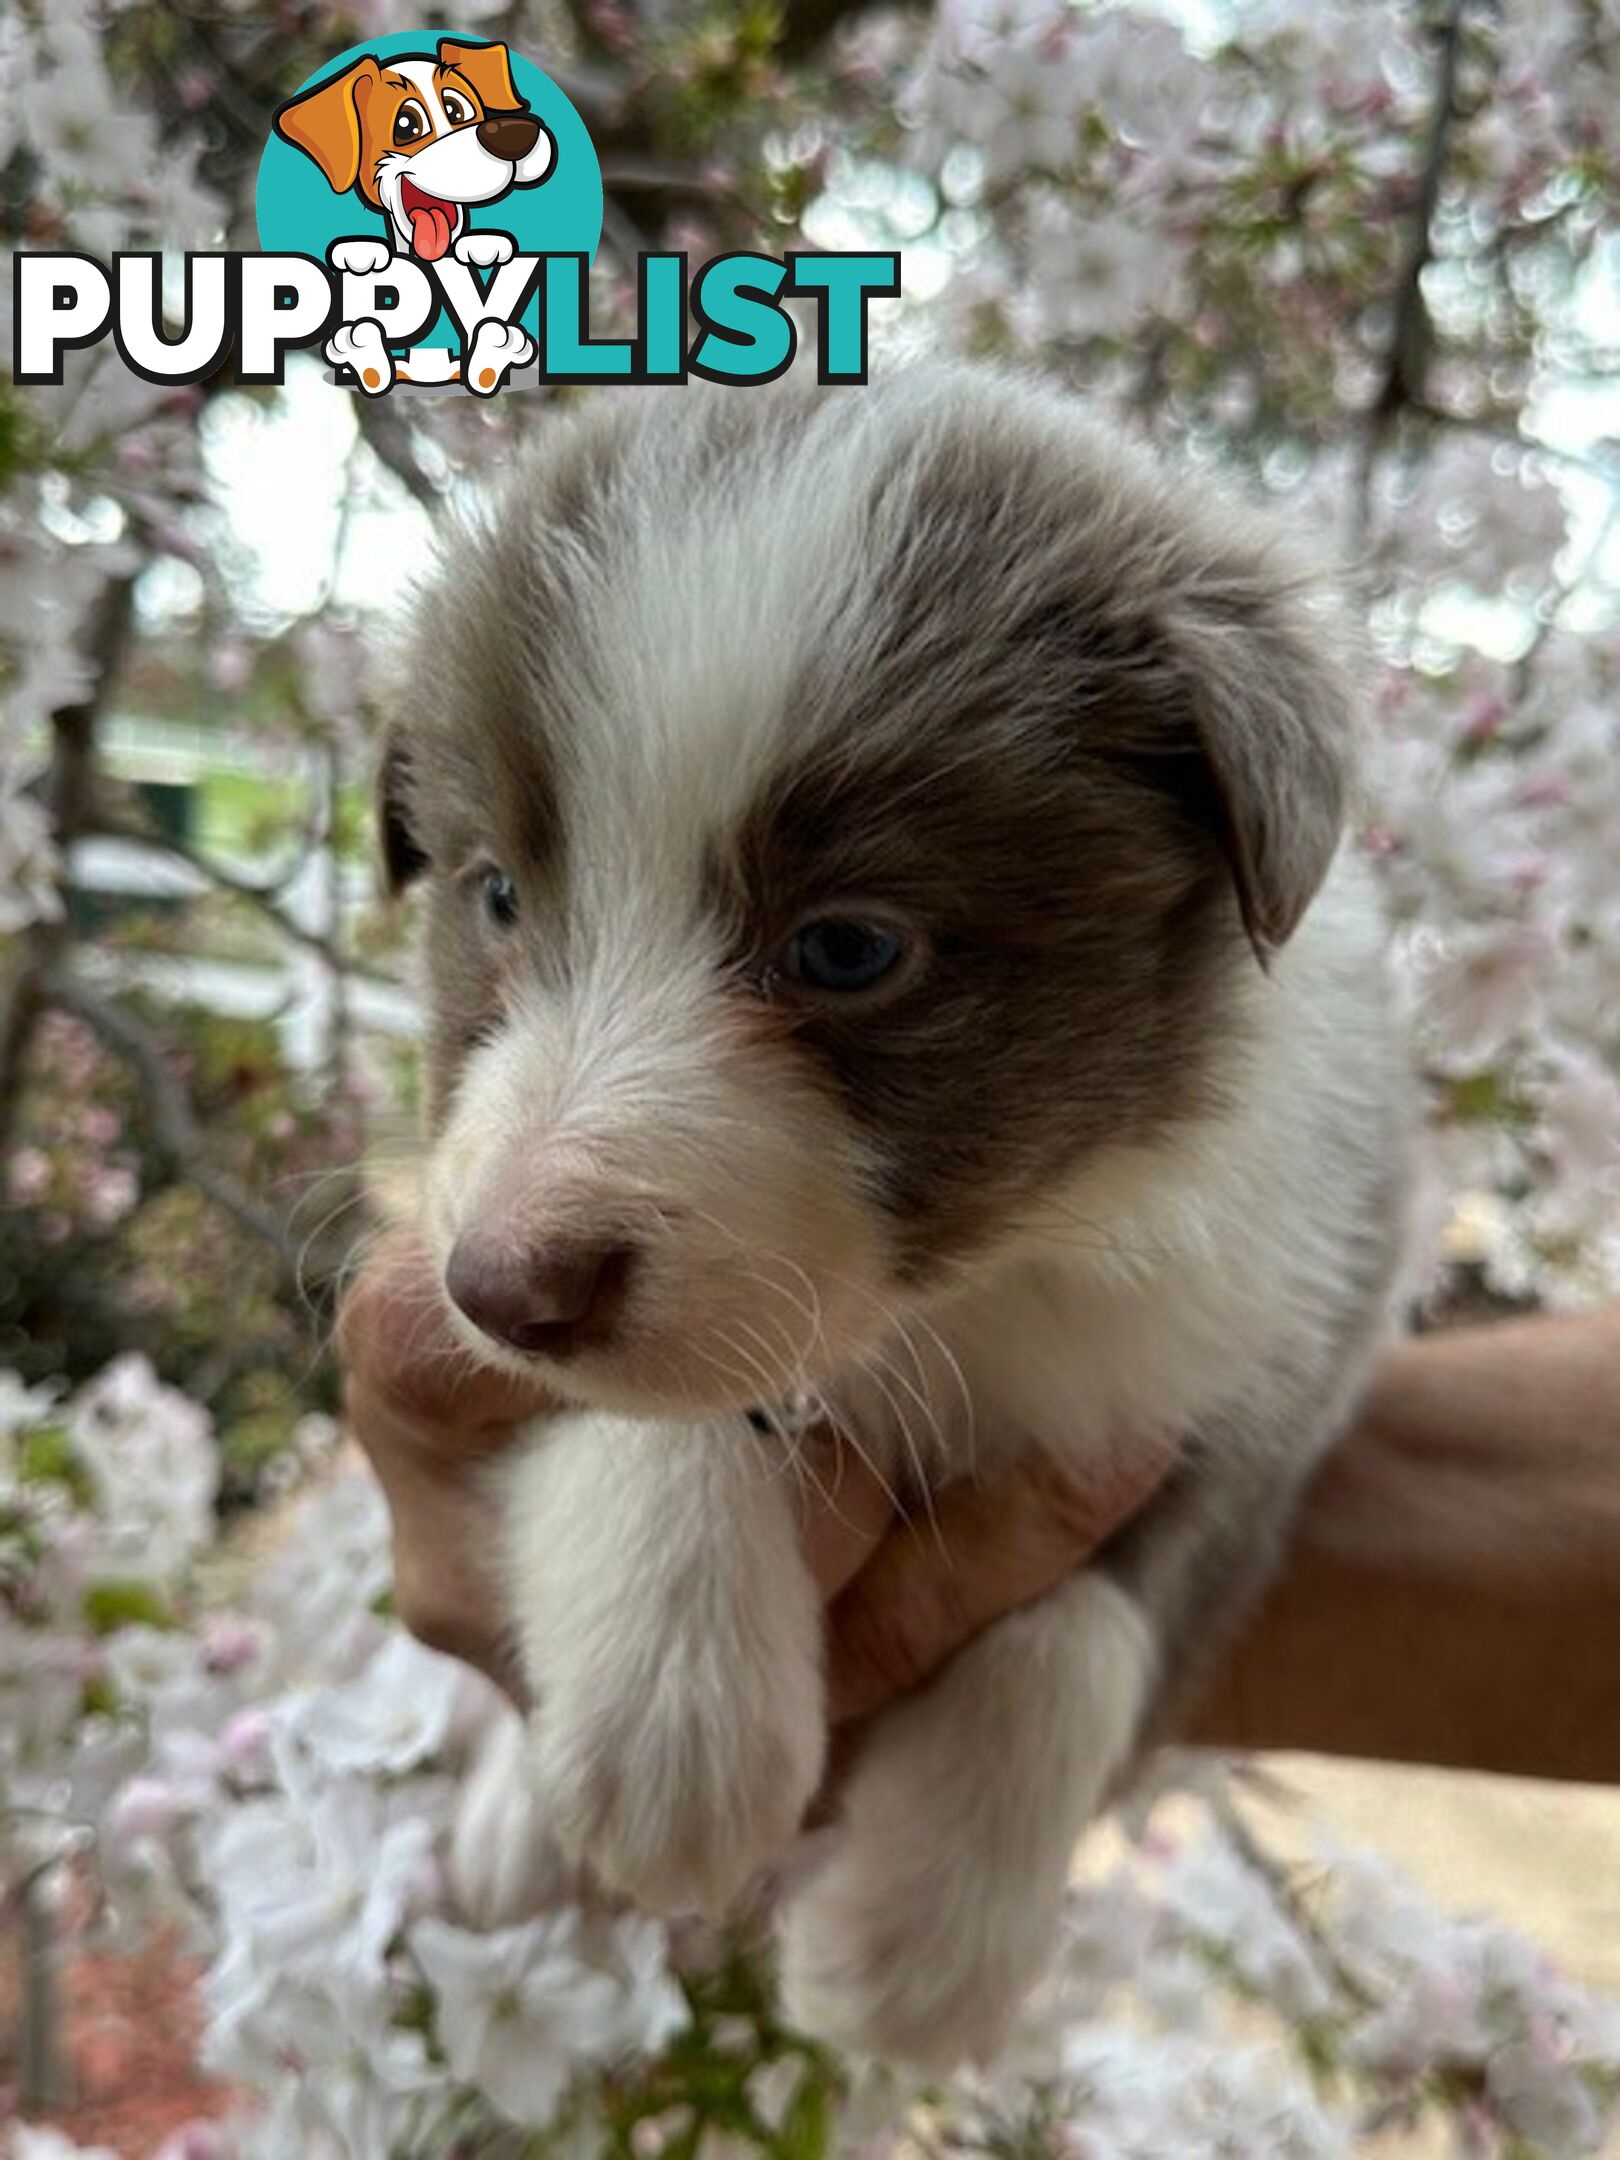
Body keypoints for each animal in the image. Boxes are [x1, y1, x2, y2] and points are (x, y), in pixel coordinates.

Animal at [378, 371, 1408, 2073]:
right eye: (500, 896)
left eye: (849, 949)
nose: (502, 1286)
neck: (965, 1298)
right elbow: (643, 1405)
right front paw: (670, 1716)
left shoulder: (1287, 1349)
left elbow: (1090, 1617)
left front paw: (925, 1944)